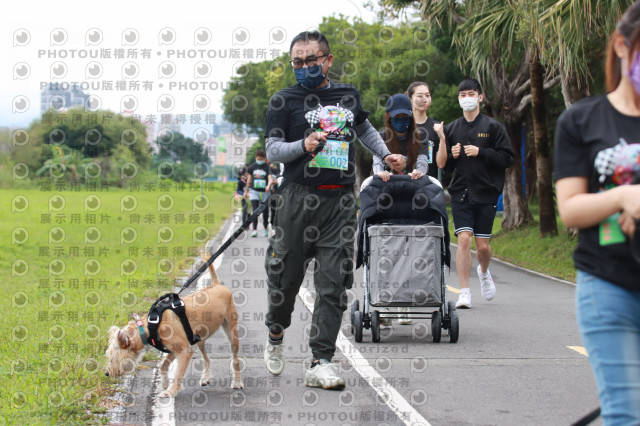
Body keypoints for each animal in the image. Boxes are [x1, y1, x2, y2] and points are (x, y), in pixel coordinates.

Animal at [106, 262, 244, 398]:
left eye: (112, 358)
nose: (106, 374)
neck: (149, 326)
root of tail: (217, 285)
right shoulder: (173, 349)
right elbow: (163, 366)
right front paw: (165, 383)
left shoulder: (184, 351)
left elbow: (178, 375)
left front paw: (170, 391)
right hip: (200, 339)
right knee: (207, 358)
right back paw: (205, 377)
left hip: (232, 332)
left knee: (235, 359)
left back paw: (237, 381)